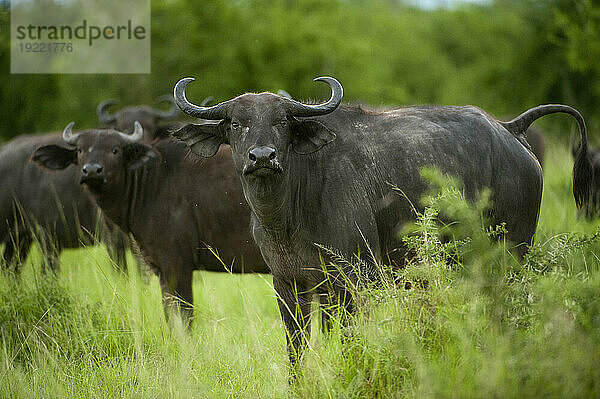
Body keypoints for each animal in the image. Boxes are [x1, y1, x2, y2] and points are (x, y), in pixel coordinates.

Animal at [29, 122, 270, 322]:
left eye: (115, 150)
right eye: (80, 150)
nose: (92, 170)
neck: (151, 182)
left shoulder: (176, 265)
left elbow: (182, 318)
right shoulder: (160, 270)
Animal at [172, 75, 592, 368]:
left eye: (282, 122)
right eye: (235, 123)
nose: (262, 157)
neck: (288, 214)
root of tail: (508, 129)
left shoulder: (353, 279)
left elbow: (350, 339)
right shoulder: (288, 284)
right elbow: (297, 349)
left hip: (512, 254)